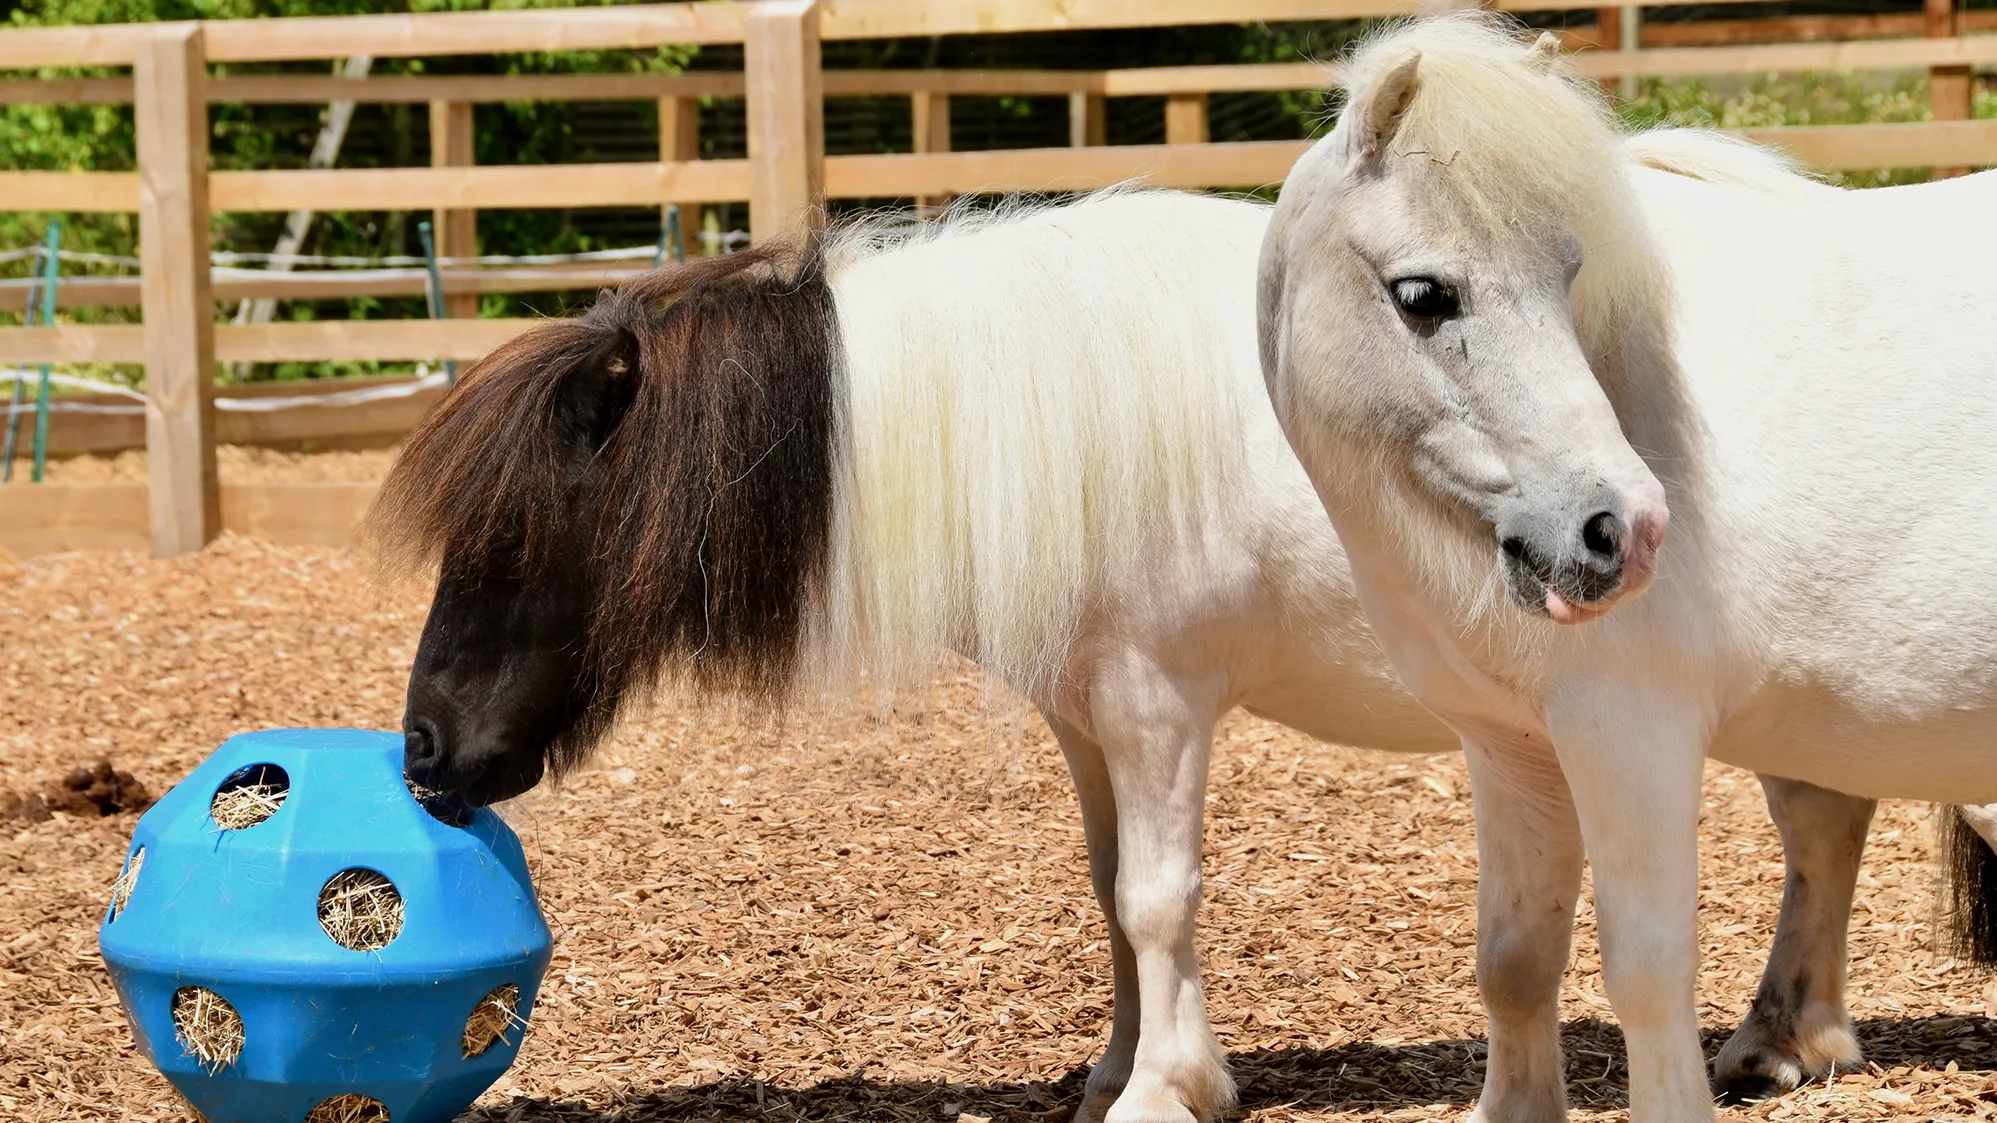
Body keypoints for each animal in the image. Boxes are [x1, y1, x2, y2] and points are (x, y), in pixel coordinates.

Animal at [373, 187, 1961, 1123]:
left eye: (518, 534)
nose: (427, 751)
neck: (1041, 402)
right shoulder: (1088, 716)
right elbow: (1107, 892)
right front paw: (1113, 1065)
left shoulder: (1155, 702)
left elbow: (1156, 892)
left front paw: (1170, 1086)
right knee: (1826, 821)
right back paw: (1790, 1036)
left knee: (1820, 821)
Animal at [1258, 15, 1997, 1123]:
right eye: (1423, 295)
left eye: (1569, 276)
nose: (1623, 529)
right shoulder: (1508, 747)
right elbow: (1513, 956)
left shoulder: (1629, 735)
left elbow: (1645, 963)